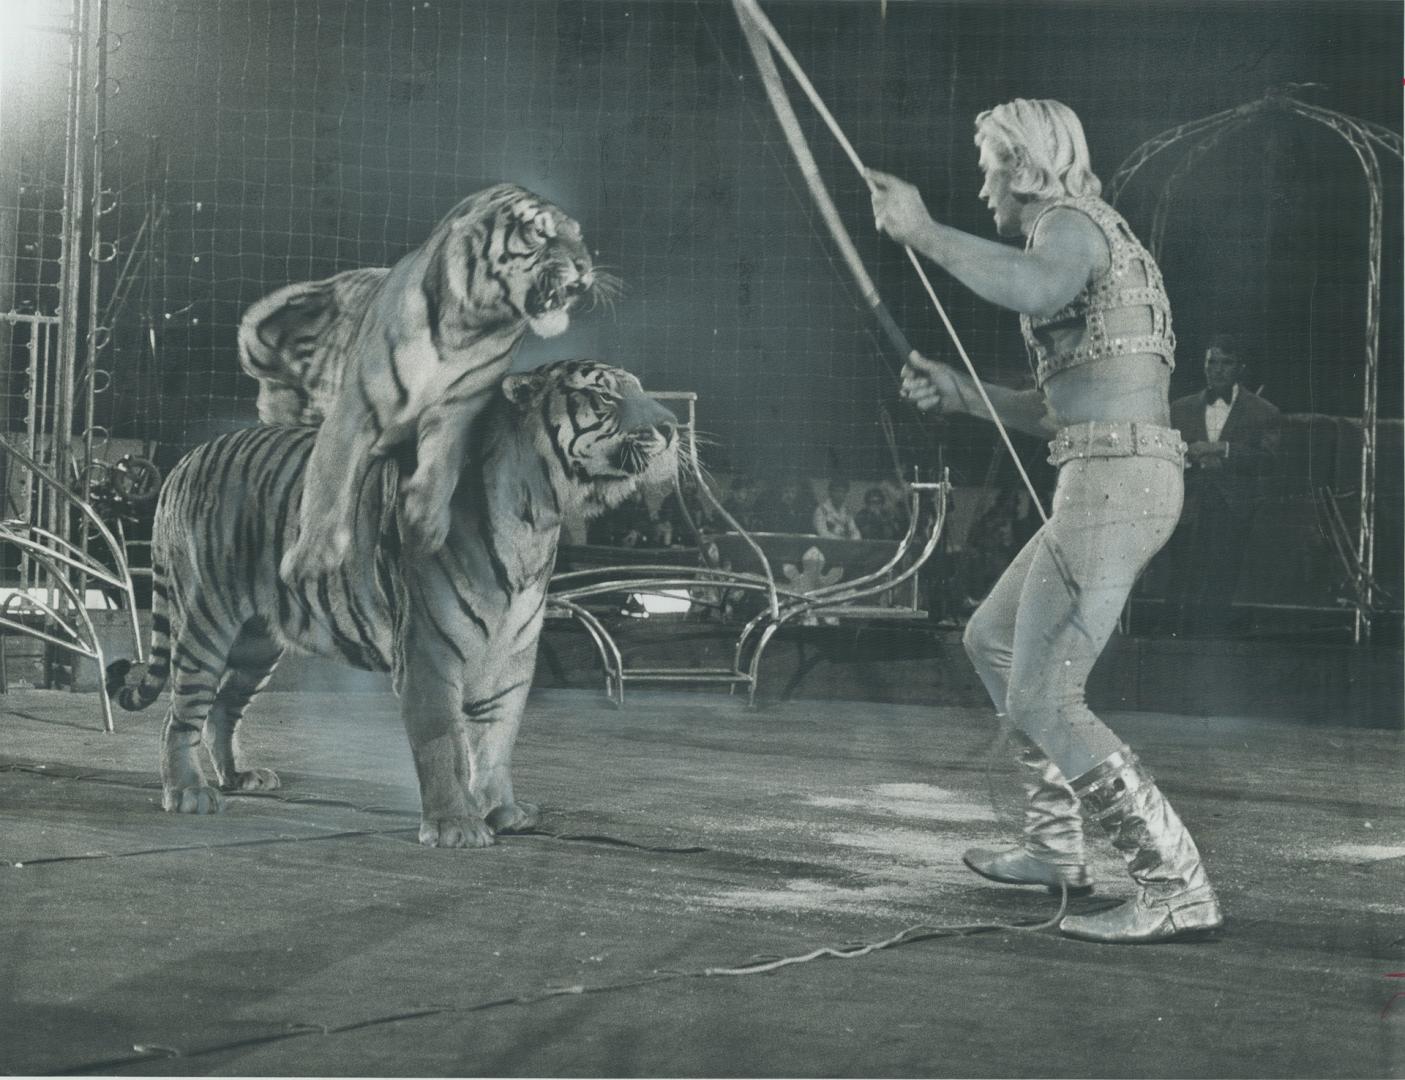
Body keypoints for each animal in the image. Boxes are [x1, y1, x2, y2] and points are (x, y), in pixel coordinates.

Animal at [106, 362, 677, 853]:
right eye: (605, 397)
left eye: (642, 390)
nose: (672, 426)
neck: (537, 516)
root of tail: (186, 458)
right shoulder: (430, 653)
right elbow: (444, 744)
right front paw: (454, 826)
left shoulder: (511, 659)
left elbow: (496, 742)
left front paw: (501, 811)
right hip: (208, 619)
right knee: (181, 713)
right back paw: (189, 792)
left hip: (256, 641)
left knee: (224, 708)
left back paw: (238, 777)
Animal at [240, 188, 615, 589]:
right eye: (538, 232)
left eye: (579, 237)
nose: (584, 267)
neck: (467, 326)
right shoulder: (356, 411)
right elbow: (330, 484)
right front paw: (312, 559)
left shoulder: (458, 409)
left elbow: (440, 469)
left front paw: (422, 525)